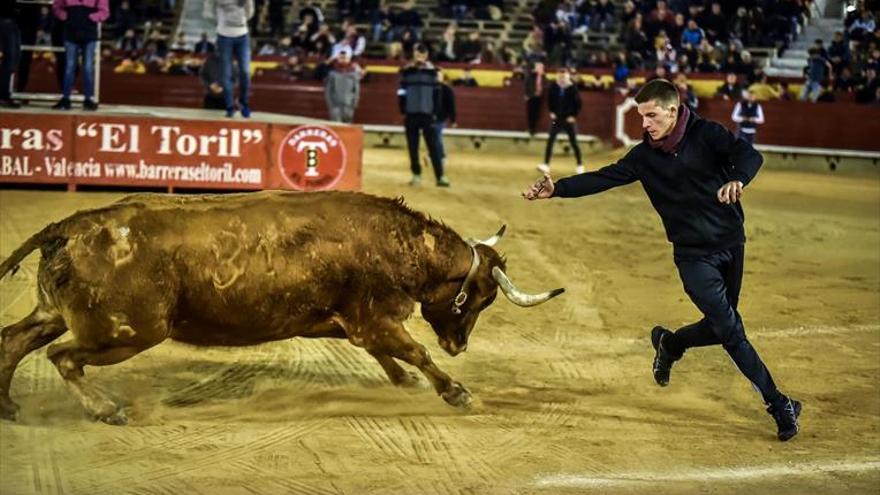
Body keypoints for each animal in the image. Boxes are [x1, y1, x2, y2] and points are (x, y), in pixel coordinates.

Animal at [1, 192, 564, 424]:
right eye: (483, 298)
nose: (459, 344)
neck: (390, 242)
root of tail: (71, 226)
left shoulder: (346, 323)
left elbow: (390, 355)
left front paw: (404, 383)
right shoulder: (372, 319)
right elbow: (413, 352)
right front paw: (456, 392)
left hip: (57, 314)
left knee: (14, 340)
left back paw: (8, 407)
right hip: (128, 331)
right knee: (62, 358)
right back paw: (105, 409)